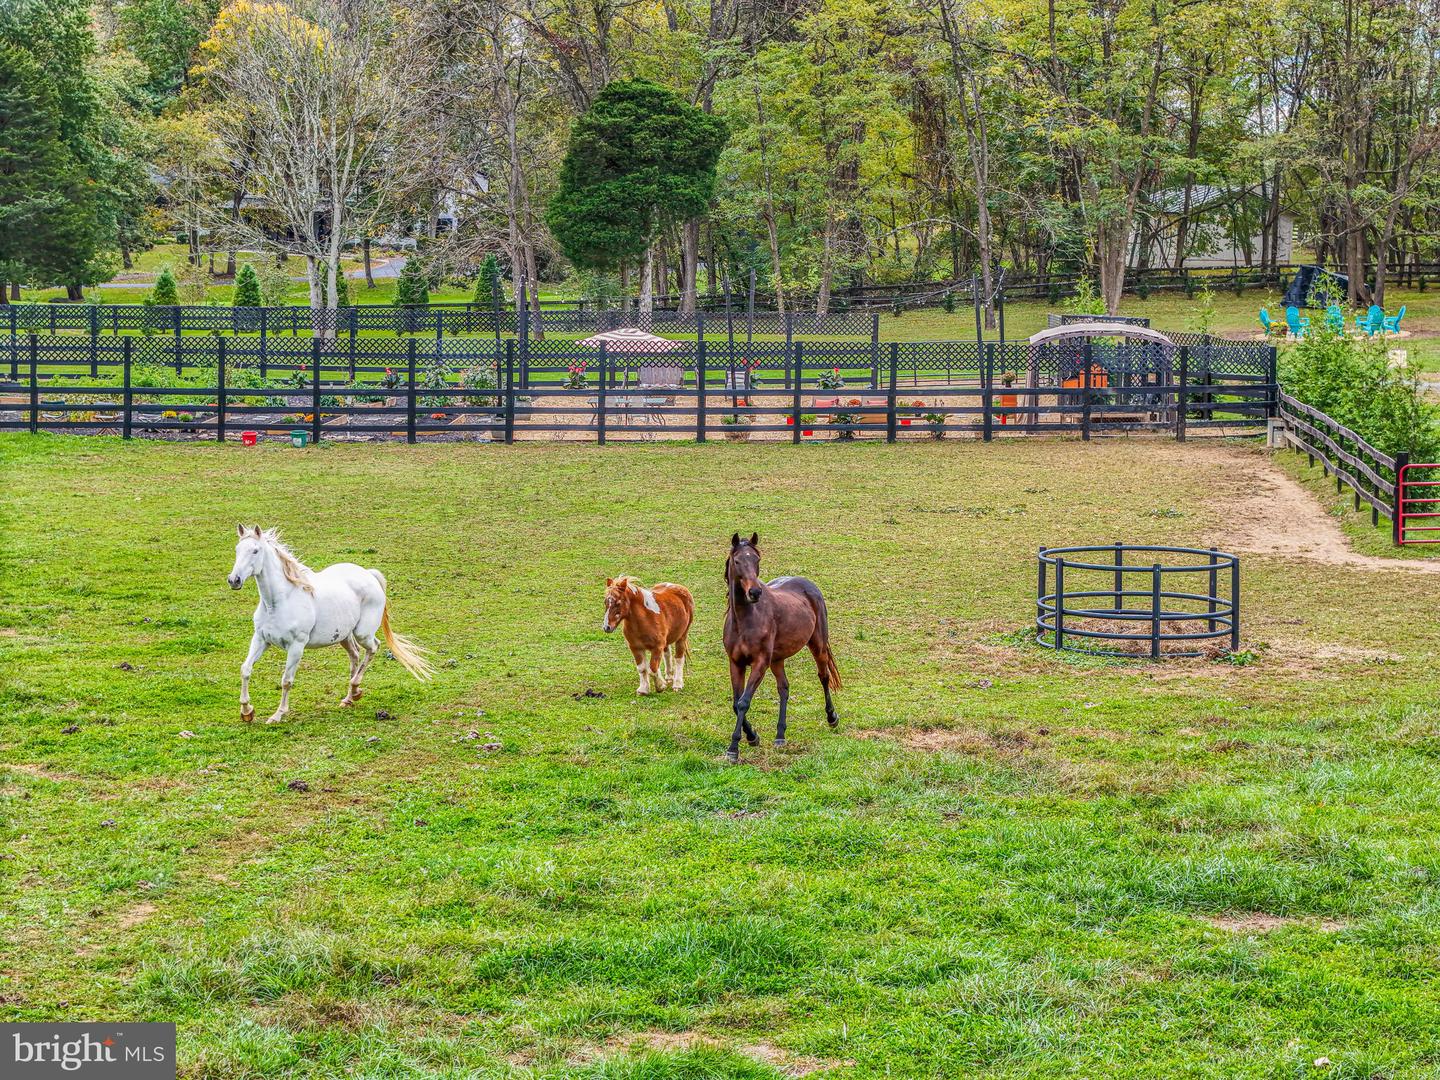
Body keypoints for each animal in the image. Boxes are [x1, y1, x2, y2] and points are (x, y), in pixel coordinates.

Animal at [226, 527, 432, 728]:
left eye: (255, 550)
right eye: (237, 550)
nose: (234, 580)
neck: (278, 602)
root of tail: (369, 574)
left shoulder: (296, 646)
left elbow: (286, 681)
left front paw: (278, 715)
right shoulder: (261, 639)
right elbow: (245, 669)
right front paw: (247, 711)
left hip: (362, 633)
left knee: (374, 647)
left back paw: (355, 689)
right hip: (343, 636)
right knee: (355, 656)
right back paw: (349, 698)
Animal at [725, 532, 840, 760]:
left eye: (757, 559)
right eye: (737, 561)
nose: (755, 592)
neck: (744, 620)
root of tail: (808, 585)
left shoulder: (760, 663)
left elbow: (743, 702)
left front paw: (734, 748)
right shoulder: (736, 663)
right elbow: (736, 702)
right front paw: (752, 737)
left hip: (818, 645)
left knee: (823, 676)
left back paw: (832, 717)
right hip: (777, 660)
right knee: (784, 688)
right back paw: (780, 735)